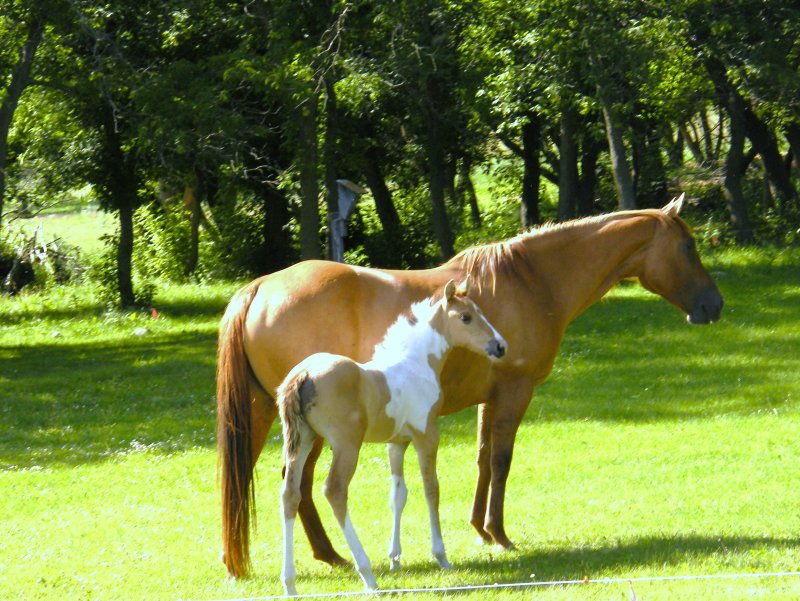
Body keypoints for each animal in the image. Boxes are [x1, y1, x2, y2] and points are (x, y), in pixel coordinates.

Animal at [278, 278, 506, 592]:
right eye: (465, 317)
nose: (500, 346)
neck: (416, 363)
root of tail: (303, 374)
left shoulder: (396, 444)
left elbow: (398, 494)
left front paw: (395, 558)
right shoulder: (426, 435)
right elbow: (431, 489)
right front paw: (441, 556)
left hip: (302, 441)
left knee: (290, 494)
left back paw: (289, 584)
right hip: (346, 445)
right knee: (335, 491)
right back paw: (367, 575)